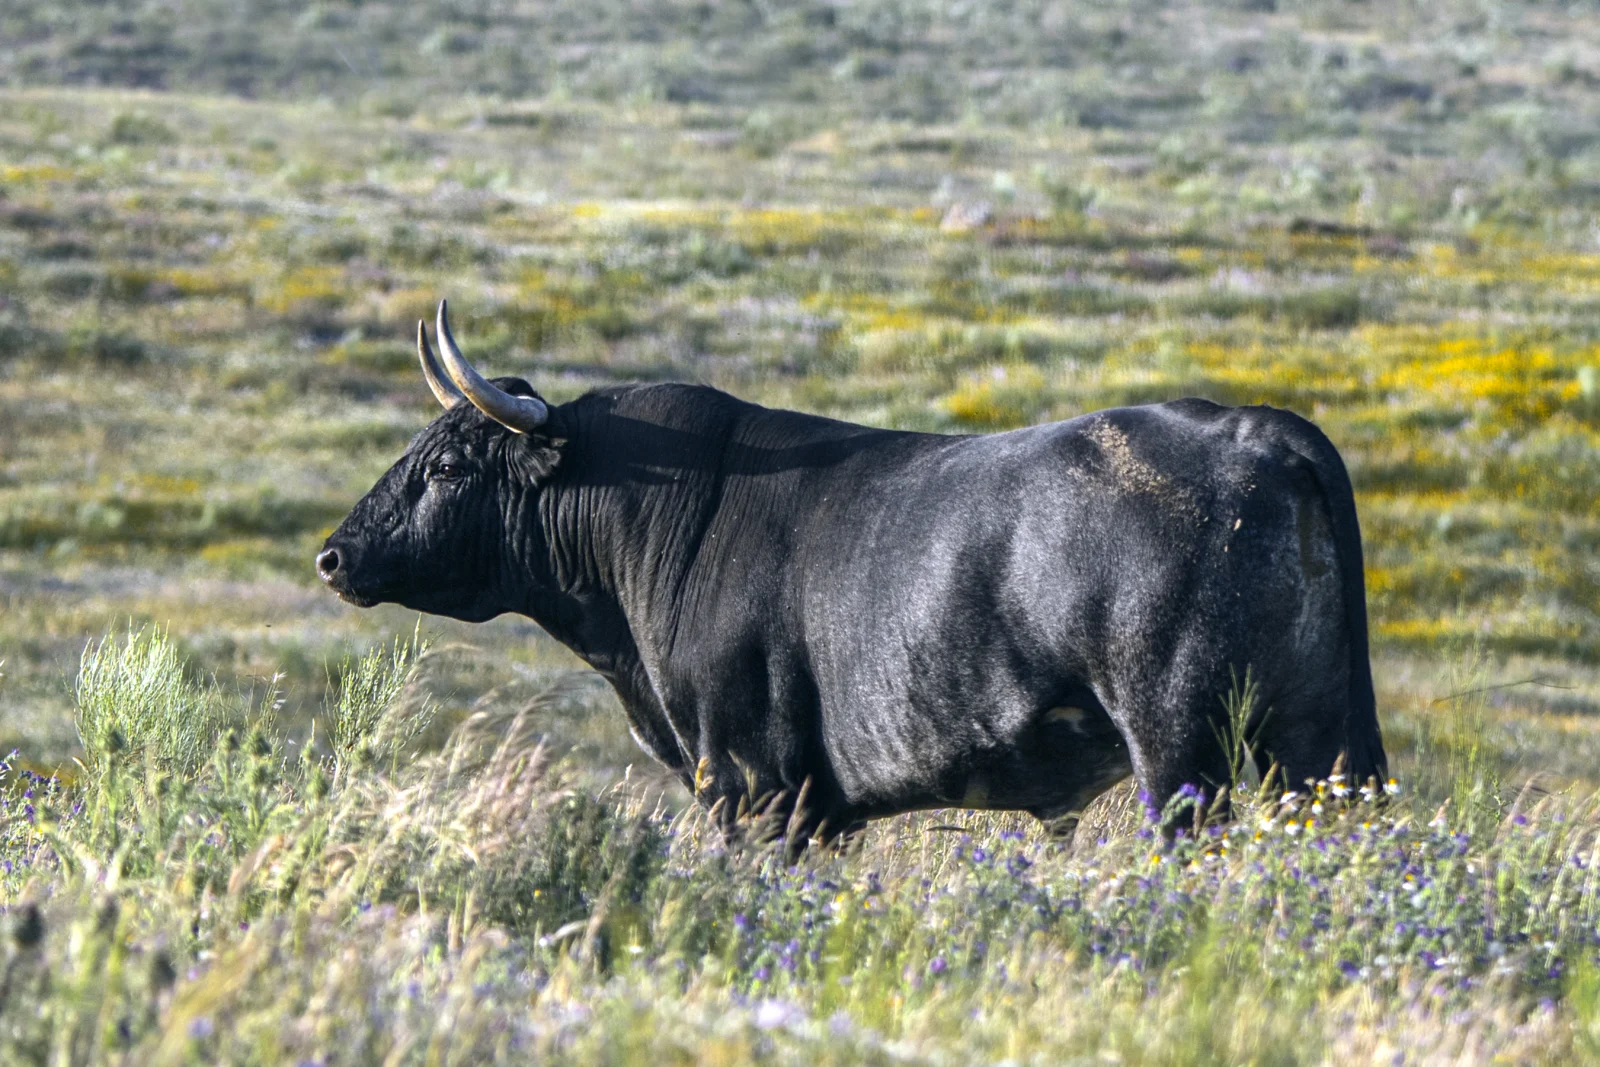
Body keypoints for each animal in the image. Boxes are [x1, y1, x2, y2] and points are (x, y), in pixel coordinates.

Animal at [318, 301, 1387, 841]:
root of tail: (1252, 423)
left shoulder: (754, 782)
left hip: (1180, 744)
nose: (336, 553)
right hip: (1318, 745)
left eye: (449, 466)